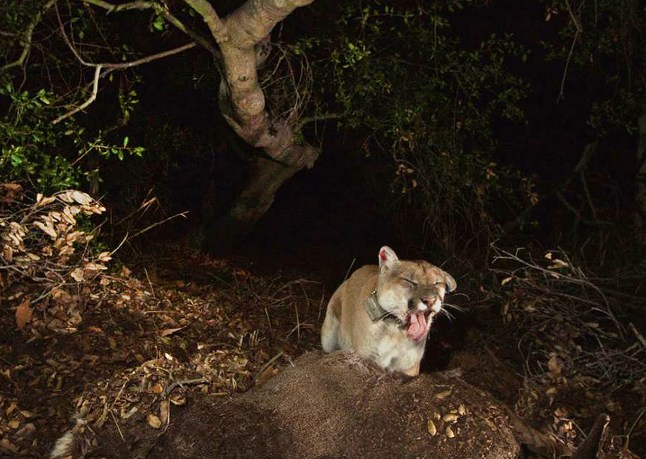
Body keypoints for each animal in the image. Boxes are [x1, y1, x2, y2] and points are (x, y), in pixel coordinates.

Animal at [322, 248, 456, 378]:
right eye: (409, 281)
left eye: (437, 283)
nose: (430, 300)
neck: (396, 332)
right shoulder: (366, 359)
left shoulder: (409, 369)